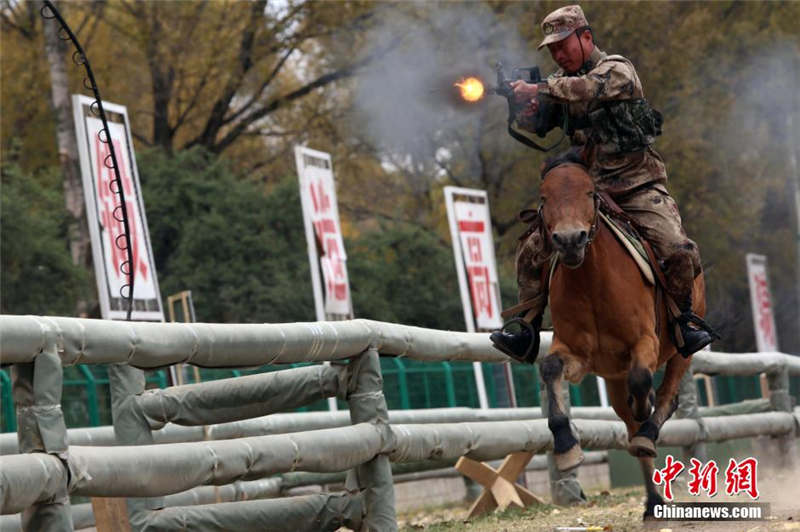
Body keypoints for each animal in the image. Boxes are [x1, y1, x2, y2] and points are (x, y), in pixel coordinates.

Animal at [536, 161, 708, 516]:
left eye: (590, 192)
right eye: (543, 197)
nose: (570, 240)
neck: (592, 281)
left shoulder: (645, 342)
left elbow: (642, 379)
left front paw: (645, 409)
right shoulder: (577, 352)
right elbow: (550, 368)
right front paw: (566, 446)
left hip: (681, 352)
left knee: (666, 395)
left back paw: (647, 431)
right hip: (614, 377)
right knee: (627, 418)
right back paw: (653, 500)